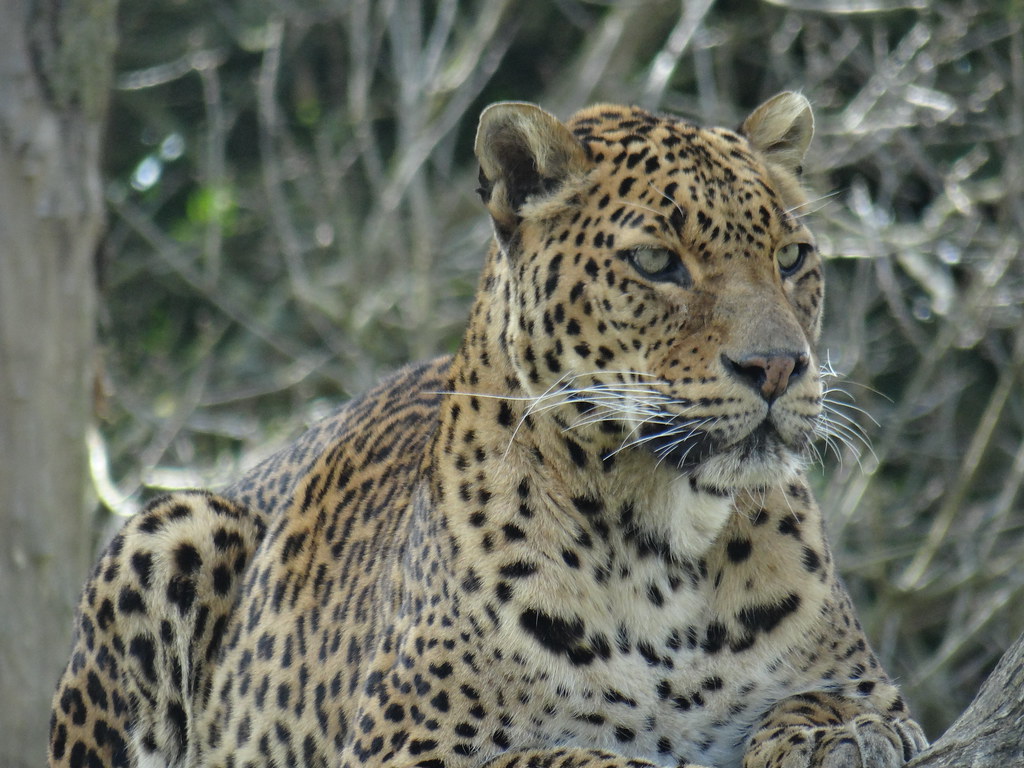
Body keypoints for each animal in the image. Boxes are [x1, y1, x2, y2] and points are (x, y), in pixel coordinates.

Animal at [49, 92, 929, 768]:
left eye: (792, 257)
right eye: (655, 263)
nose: (778, 367)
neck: (668, 548)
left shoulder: (870, 681)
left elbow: (839, 703)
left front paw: (838, 735)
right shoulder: (404, 748)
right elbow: (563, 757)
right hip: (170, 529)